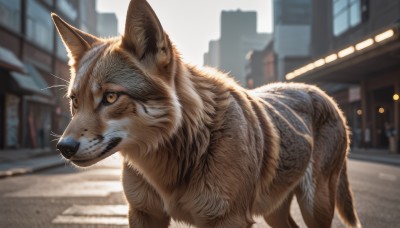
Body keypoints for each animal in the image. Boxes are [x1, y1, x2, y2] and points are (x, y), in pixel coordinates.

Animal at [53, 0, 362, 227]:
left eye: (110, 97)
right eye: (74, 102)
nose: (64, 147)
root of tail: (322, 92)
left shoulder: (228, 219)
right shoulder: (143, 212)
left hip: (315, 206)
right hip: (275, 211)